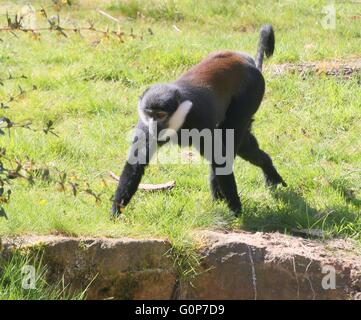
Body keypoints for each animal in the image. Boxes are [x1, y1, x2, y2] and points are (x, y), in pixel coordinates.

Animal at [111, 23, 286, 216]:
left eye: (160, 115)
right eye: (149, 114)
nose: (153, 125)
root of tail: (248, 61)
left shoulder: (199, 120)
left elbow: (220, 159)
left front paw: (236, 209)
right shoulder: (144, 127)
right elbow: (136, 162)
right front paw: (116, 209)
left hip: (250, 95)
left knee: (232, 139)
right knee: (244, 145)